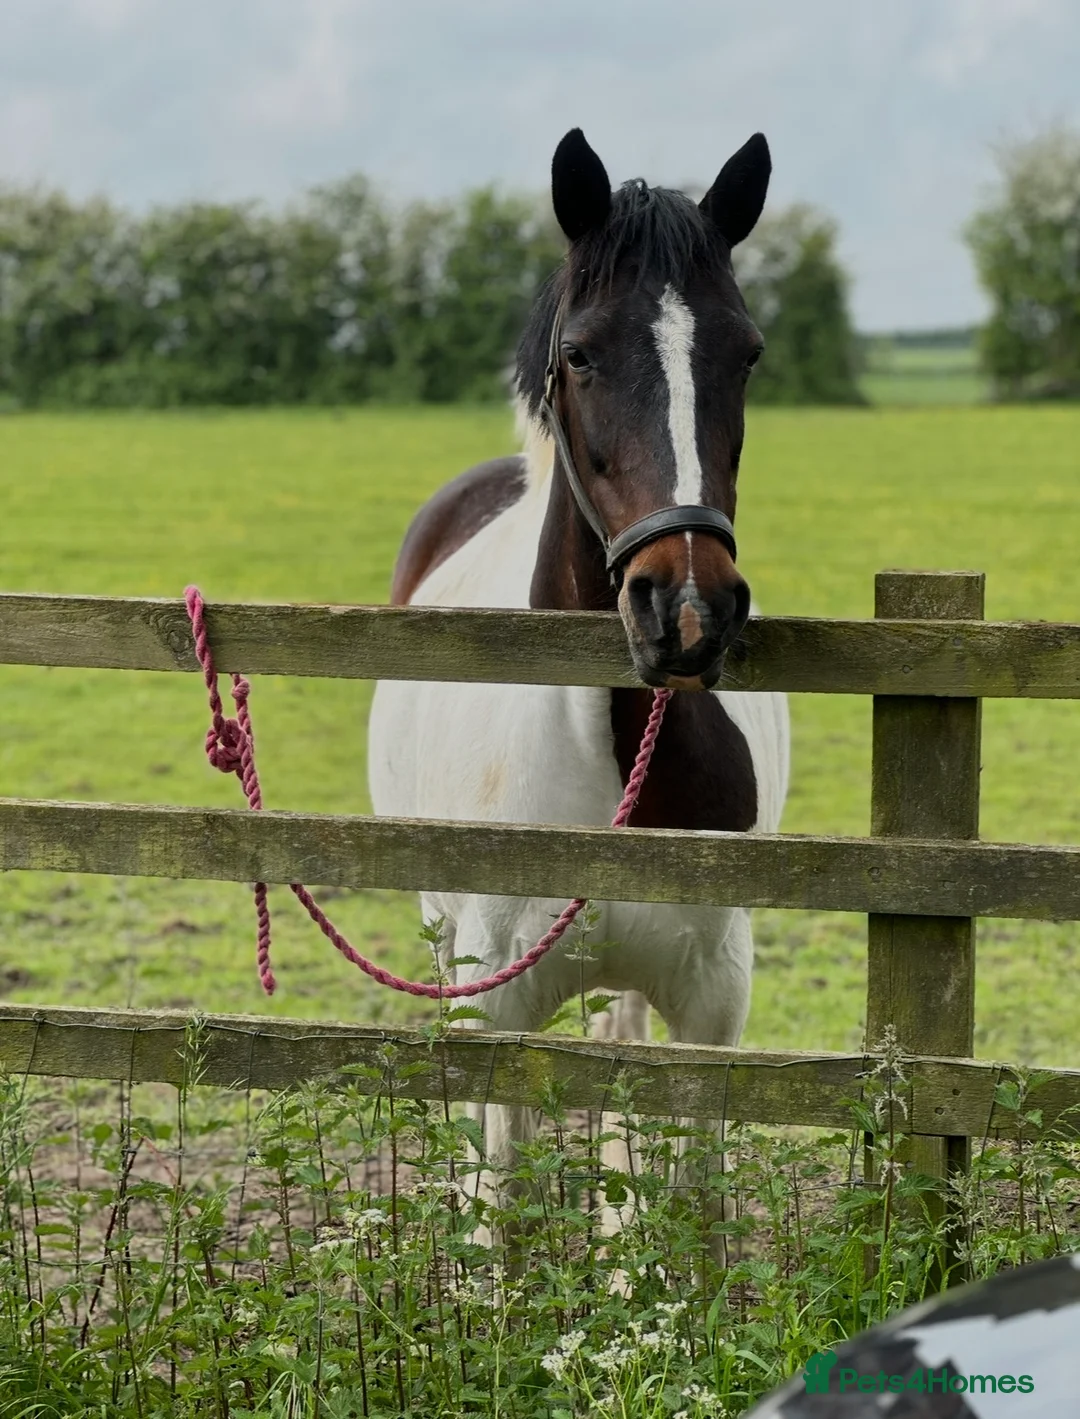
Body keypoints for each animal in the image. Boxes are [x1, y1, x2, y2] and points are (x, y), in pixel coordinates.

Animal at [367, 128, 790, 1251]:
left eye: (745, 353)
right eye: (583, 353)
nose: (686, 609)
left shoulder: (711, 999)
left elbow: (688, 1196)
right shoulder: (497, 997)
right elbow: (496, 1196)